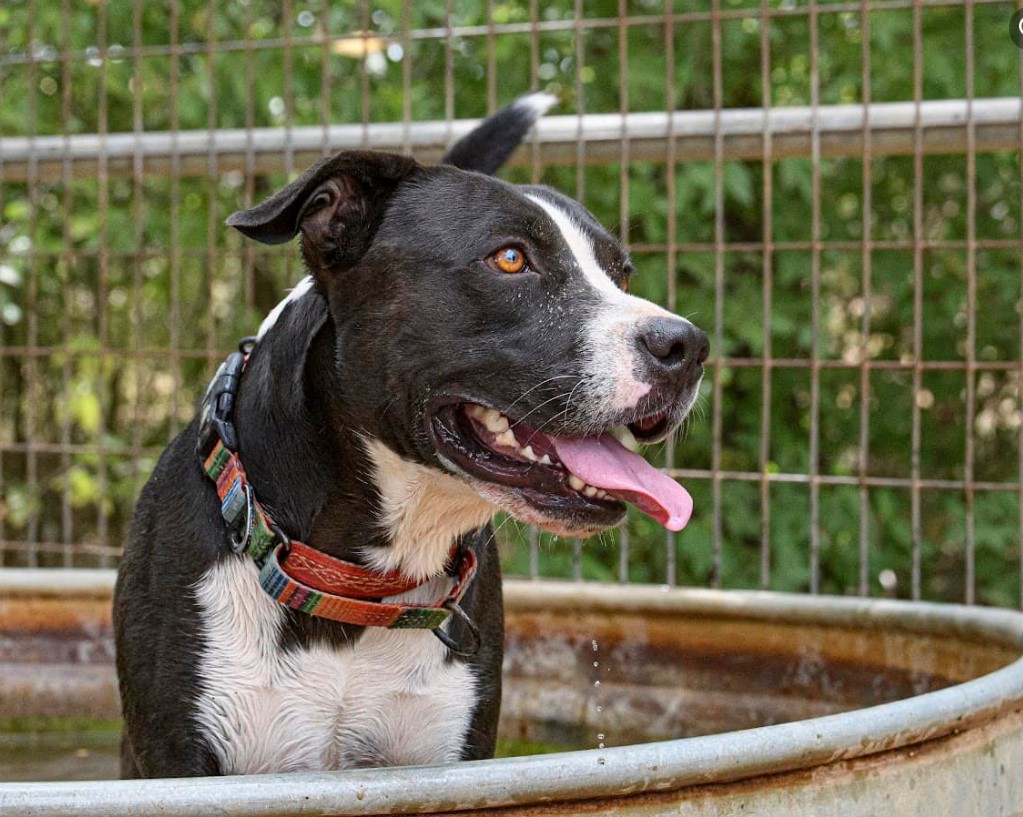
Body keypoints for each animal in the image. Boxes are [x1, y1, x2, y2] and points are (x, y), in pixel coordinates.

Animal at [109, 94, 703, 781]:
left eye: (621, 275)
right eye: (510, 258)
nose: (688, 347)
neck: (362, 583)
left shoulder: (451, 754)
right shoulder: (177, 758)